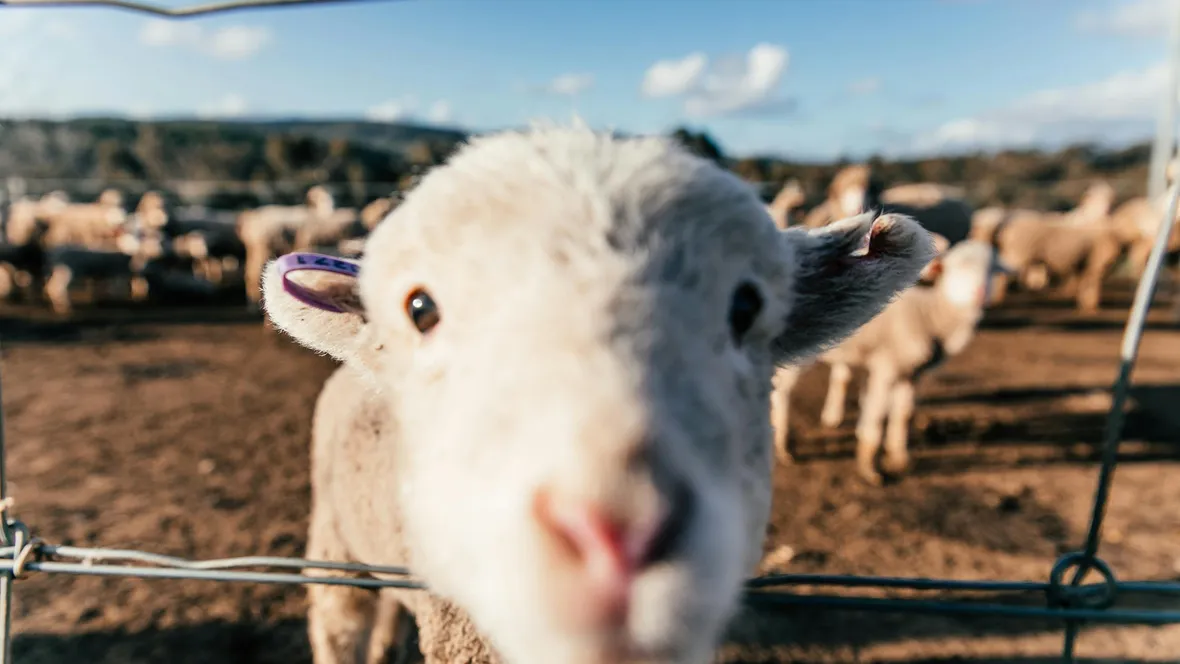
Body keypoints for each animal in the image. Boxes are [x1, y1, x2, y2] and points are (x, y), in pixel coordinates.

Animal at [769, 237, 1009, 486]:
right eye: (956, 267)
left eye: (993, 269)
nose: (979, 293)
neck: (930, 315)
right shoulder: (886, 365)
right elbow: (876, 418)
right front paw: (870, 470)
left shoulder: (911, 373)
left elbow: (904, 414)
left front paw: (900, 458)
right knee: (782, 392)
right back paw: (783, 447)